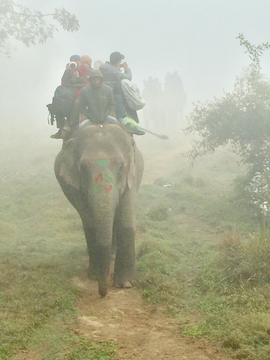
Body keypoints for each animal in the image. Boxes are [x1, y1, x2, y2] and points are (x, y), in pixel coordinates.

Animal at [53, 122, 144, 296]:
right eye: (83, 168)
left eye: (121, 167)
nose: (103, 293)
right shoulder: (75, 186)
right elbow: (90, 221)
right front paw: (95, 276)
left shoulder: (132, 176)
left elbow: (125, 220)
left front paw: (126, 283)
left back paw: (112, 256)